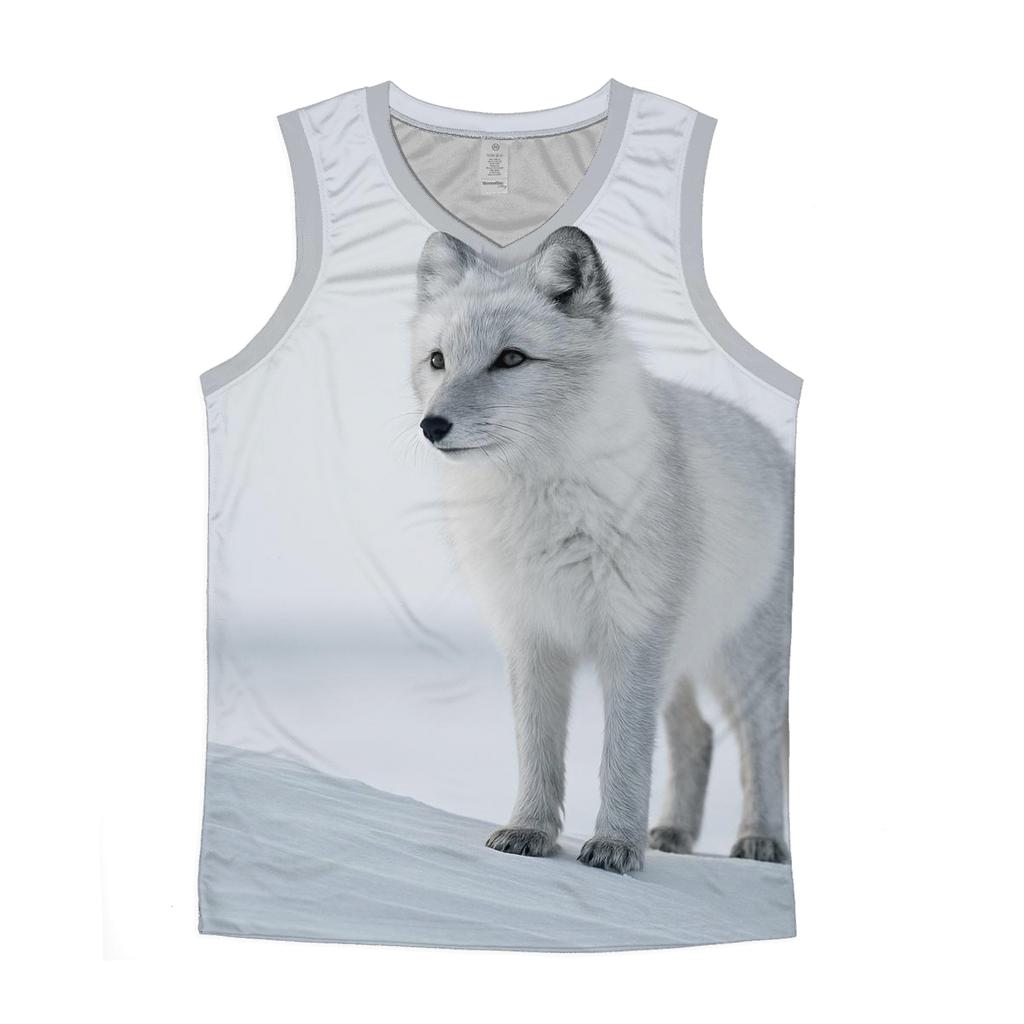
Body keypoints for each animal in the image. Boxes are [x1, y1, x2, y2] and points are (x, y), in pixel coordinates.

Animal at [410, 226, 794, 874]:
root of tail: (774, 446)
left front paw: (615, 846)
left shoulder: (632, 637)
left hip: (742, 661)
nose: (431, 426)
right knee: (698, 736)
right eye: (438, 360)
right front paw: (528, 831)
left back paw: (760, 840)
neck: (542, 504)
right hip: (681, 661)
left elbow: (625, 757)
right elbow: (536, 750)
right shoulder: (532, 636)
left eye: (510, 359)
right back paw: (672, 833)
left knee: (761, 742)